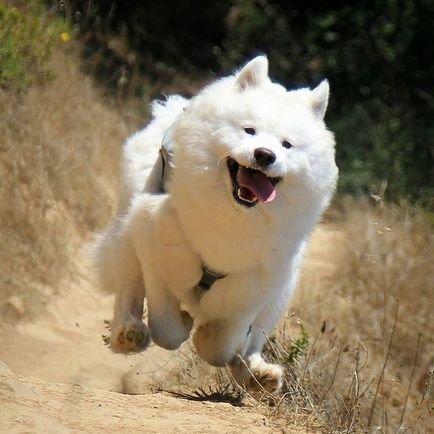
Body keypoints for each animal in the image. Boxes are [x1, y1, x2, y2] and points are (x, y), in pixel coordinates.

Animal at [96, 56, 340, 392]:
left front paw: (208, 338)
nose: (265, 155)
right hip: (127, 238)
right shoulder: (156, 247)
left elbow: (224, 345)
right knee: (128, 292)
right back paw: (128, 334)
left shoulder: (253, 283)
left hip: (280, 292)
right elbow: (167, 329)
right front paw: (186, 324)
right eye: (249, 131)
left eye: (287, 145)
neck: (232, 217)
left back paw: (257, 375)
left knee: (254, 340)